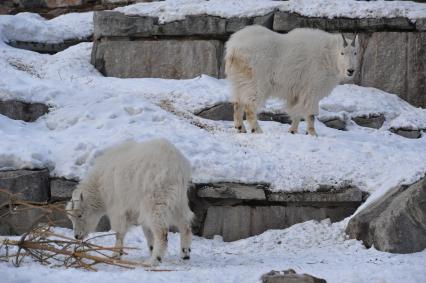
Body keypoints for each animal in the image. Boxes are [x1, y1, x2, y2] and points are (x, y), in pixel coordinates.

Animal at [65, 140, 194, 266]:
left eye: (80, 215)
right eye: (70, 218)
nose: (77, 236)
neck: (99, 187)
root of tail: (177, 167)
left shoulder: (117, 208)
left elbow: (119, 232)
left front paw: (115, 255)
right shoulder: (136, 208)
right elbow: (147, 231)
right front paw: (150, 249)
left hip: (156, 199)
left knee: (161, 231)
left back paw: (153, 261)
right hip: (179, 200)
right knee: (185, 224)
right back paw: (185, 255)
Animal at [226, 26, 360, 136]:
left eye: (355, 52)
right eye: (342, 53)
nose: (350, 70)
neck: (329, 56)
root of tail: (233, 49)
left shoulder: (297, 92)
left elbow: (296, 112)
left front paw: (293, 131)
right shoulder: (312, 88)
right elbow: (310, 113)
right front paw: (313, 133)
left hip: (239, 79)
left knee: (238, 102)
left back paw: (240, 128)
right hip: (256, 81)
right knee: (250, 105)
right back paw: (257, 130)